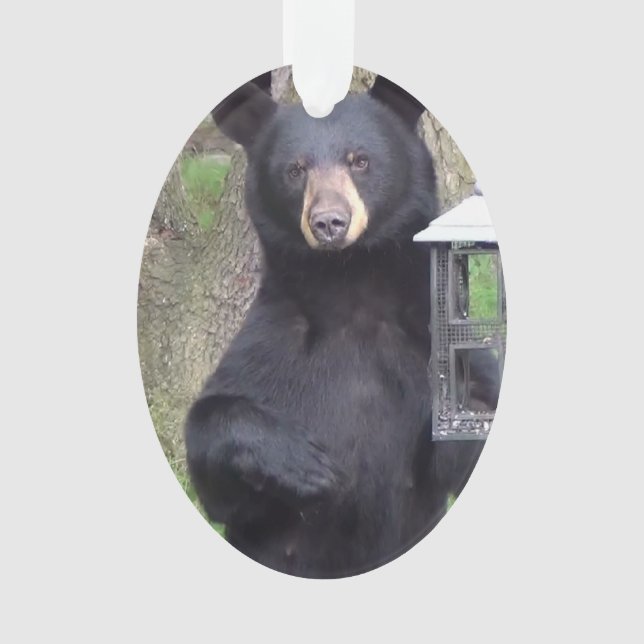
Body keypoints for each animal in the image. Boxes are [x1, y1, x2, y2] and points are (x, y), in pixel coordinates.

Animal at [185, 74, 486, 579]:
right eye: (295, 169)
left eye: (359, 160)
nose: (329, 222)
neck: (351, 284)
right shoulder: (273, 340)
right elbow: (215, 471)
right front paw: (306, 464)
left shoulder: (434, 330)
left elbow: (465, 429)